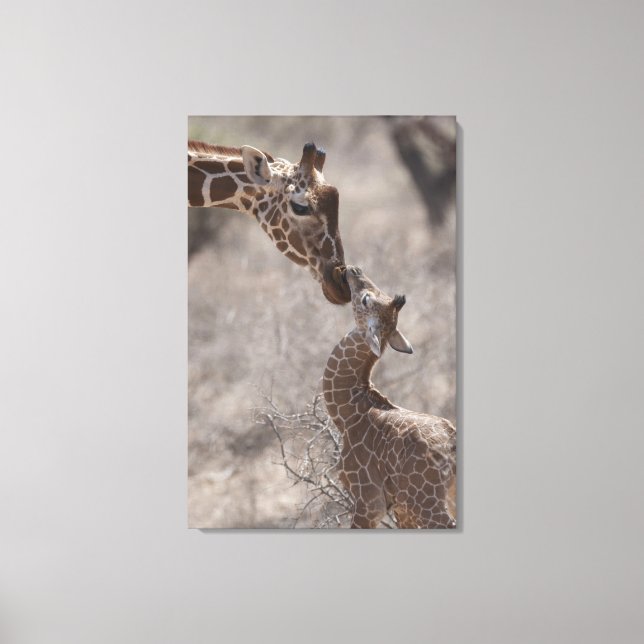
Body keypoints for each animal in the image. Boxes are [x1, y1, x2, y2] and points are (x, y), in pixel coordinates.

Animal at [323, 266, 456, 529]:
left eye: (366, 299)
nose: (354, 269)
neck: (348, 413)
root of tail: (453, 444)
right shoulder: (400, 510)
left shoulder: (368, 501)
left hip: (425, 502)